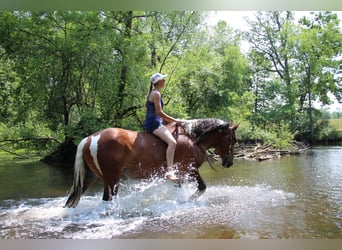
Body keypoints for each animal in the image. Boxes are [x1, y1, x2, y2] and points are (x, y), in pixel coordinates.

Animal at [65, 118, 240, 208]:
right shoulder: (190, 170)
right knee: (109, 199)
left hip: (92, 177)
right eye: (233, 139)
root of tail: (90, 138)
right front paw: (186, 201)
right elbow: (202, 187)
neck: (192, 139)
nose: (229, 162)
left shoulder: (181, 174)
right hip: (113, 179)